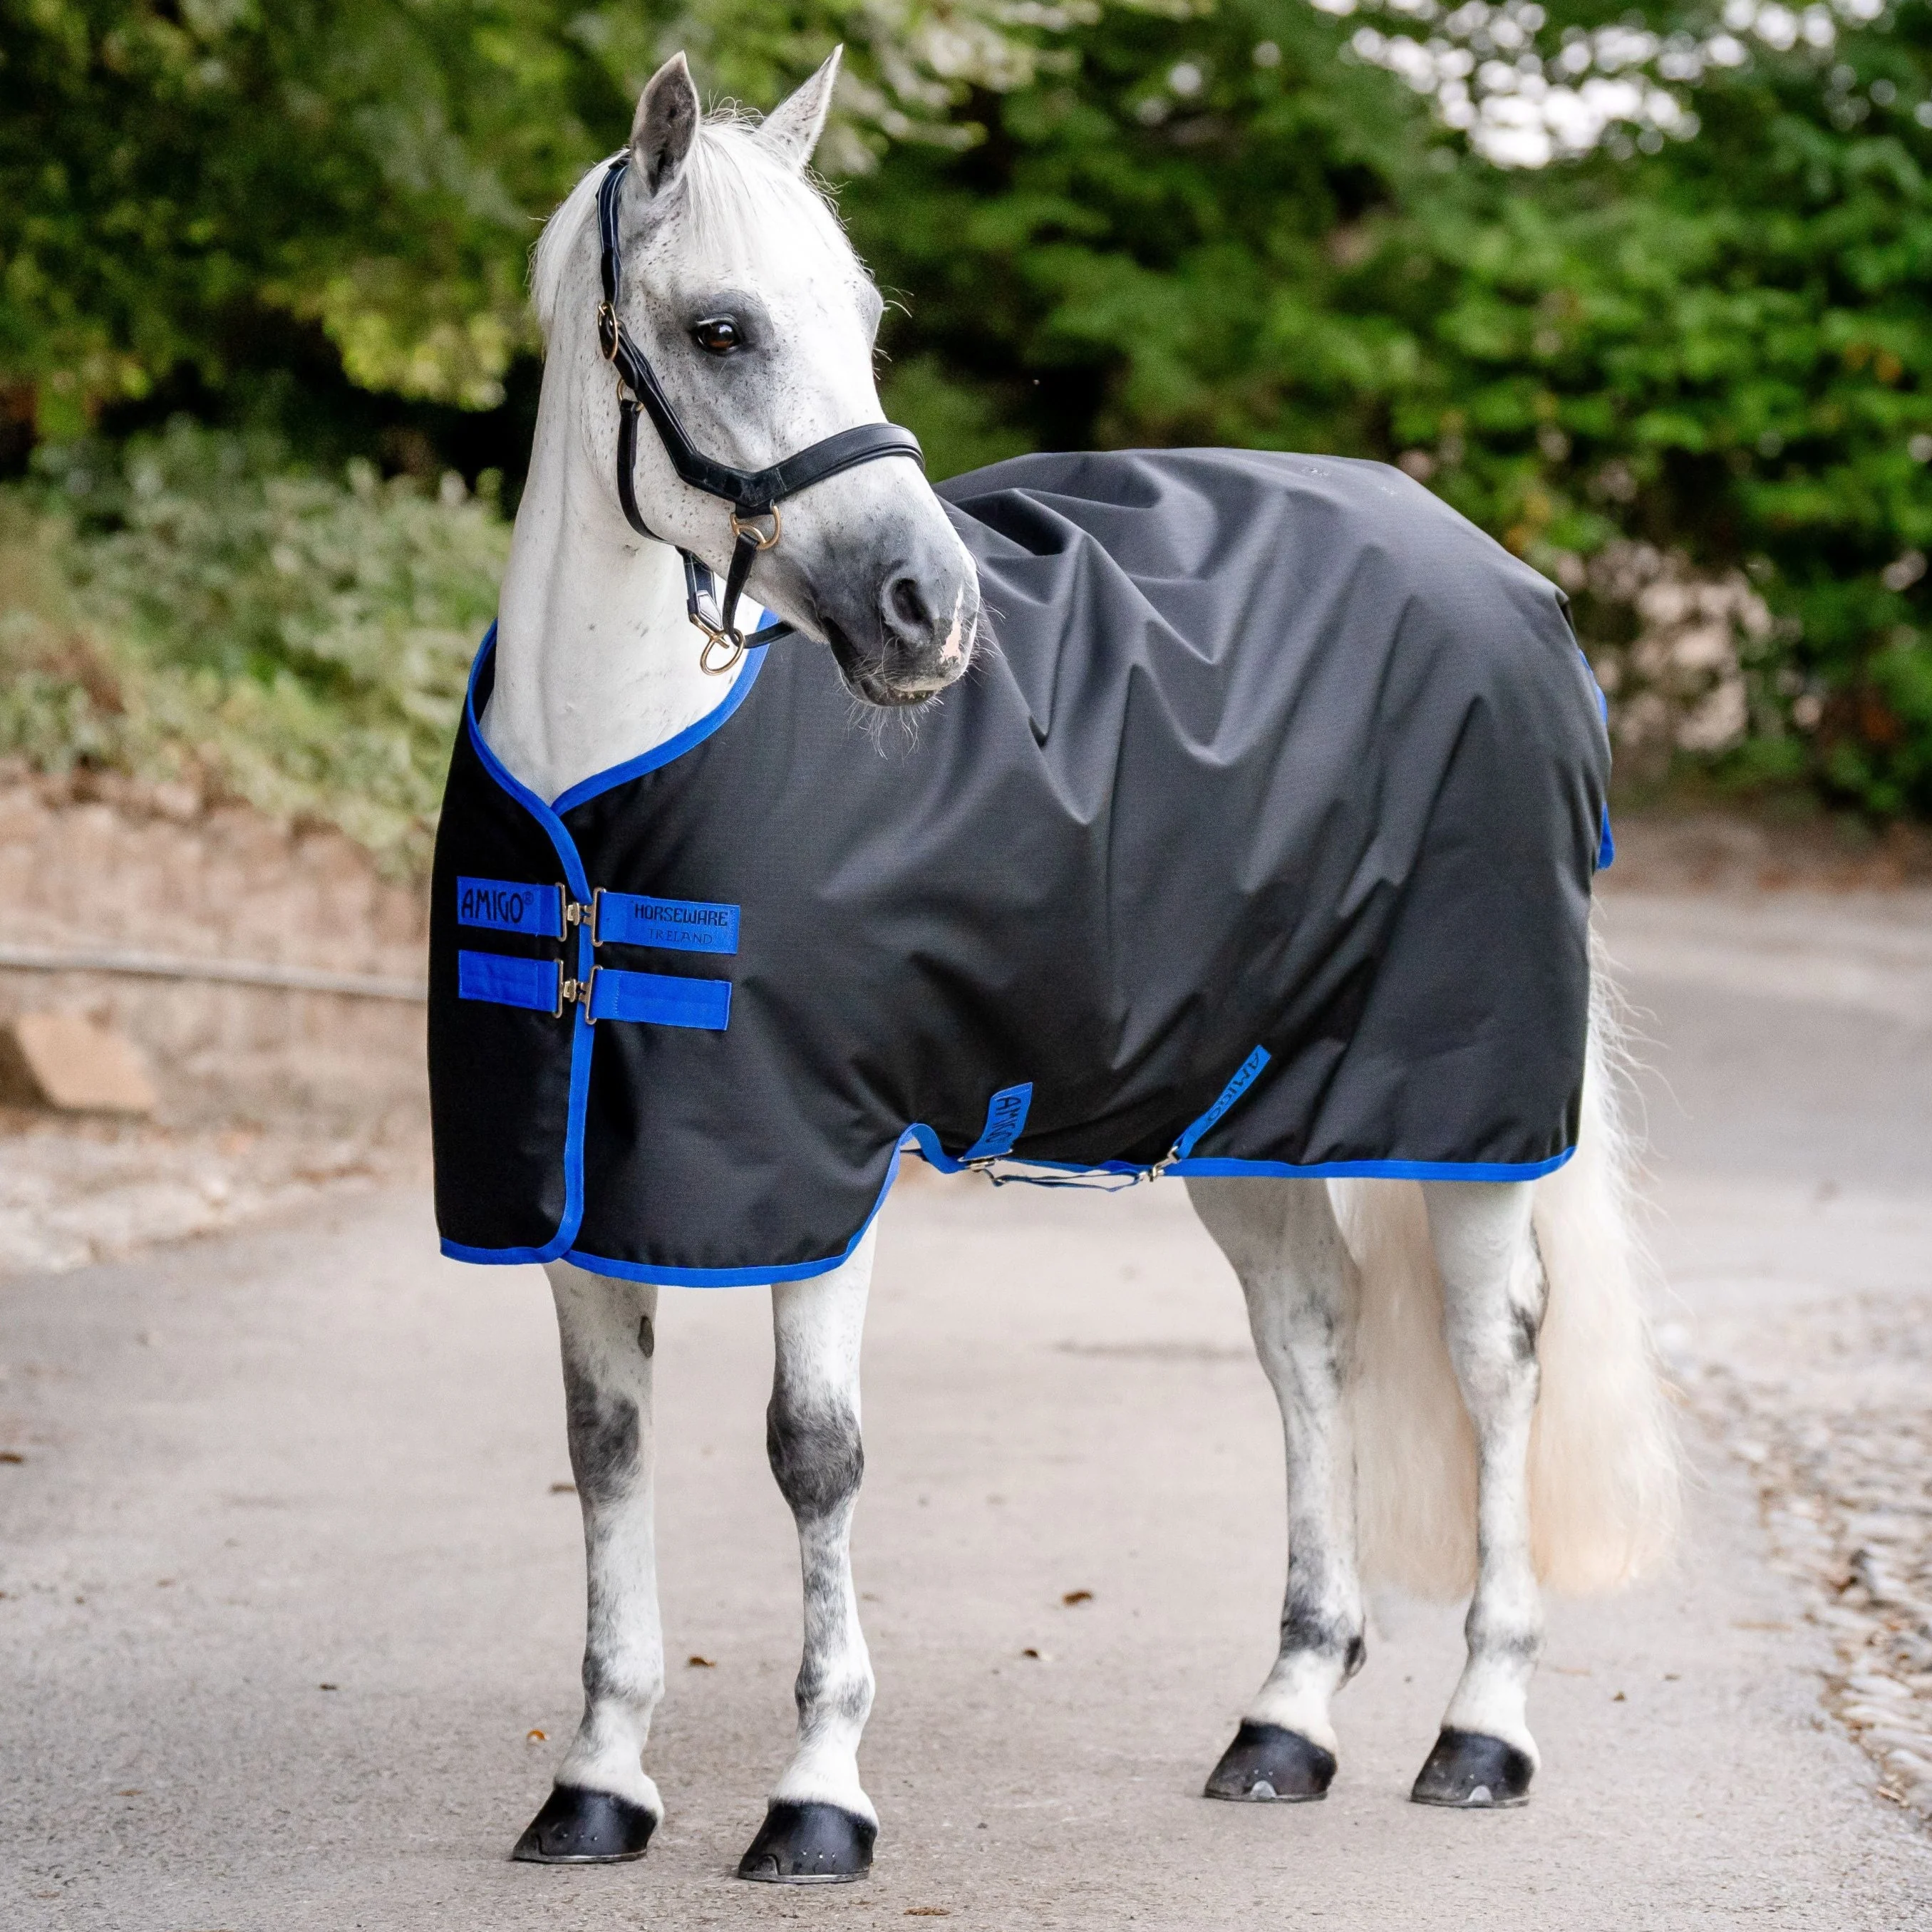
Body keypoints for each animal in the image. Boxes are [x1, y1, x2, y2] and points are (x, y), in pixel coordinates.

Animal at [438, 46, 1681, 1884]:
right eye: (723, 327)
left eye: (865, 317)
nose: (927, 611)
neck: (610, 792)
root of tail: (1510, 583)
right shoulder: (582, 1184)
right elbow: (606, 1454)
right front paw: (596, 1779)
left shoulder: (824, 1168)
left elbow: (813, 1453)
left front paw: (817, 1793)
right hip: (1248, 1113)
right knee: (1309, 1338)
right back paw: (1284, 1718)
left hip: (1465, 1114)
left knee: (1491, 1355)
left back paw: (1479, 1728)